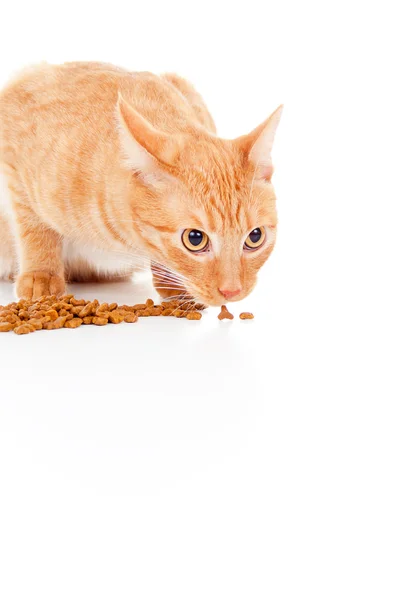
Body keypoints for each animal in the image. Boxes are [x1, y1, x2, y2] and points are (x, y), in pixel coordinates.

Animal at [0, 62, 282, 304]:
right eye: (195, 239)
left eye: (255, 237)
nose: (232, 292)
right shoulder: (13, 153)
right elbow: (33, 226)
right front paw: (41, 274)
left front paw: (175, 284)